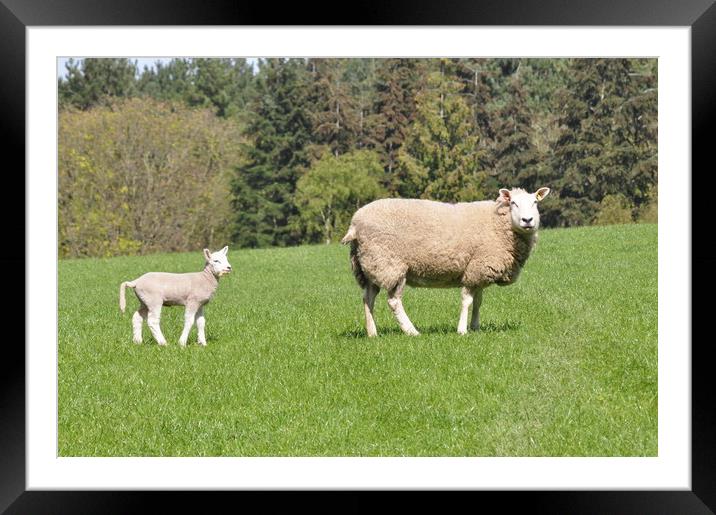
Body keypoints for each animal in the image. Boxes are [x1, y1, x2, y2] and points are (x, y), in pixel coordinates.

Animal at [340, 187, 548, 336]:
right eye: (513, 203)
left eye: (535, 202)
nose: (527, 220)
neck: (498, 224)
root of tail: (355, 224)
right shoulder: (474, 269)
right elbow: (467, 300)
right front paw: (462, 330)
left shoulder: (479, 270)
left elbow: (478, 302)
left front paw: (475, 327)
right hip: (390, 264)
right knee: (393, 301)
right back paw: (412, 331)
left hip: (369, 265)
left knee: (368, 297)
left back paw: (372, 333)